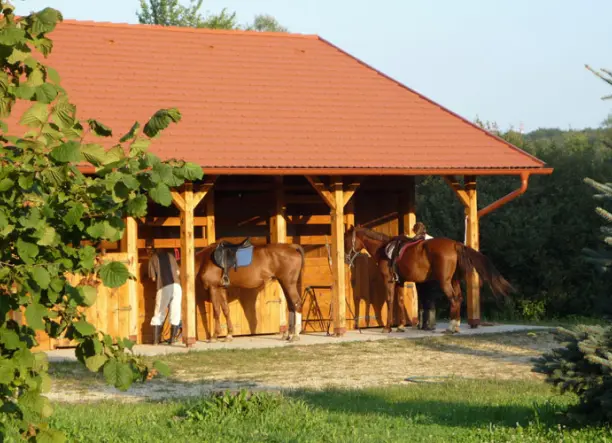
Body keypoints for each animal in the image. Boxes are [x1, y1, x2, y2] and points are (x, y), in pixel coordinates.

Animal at [344, 227, 512, 334]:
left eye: (346, 240)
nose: (346, 259)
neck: (383, 249)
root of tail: (455, 244)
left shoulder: (389, 281)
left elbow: (390, 301)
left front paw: (387, 328)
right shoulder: (400, 282)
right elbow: (400, 302)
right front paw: (400, 326)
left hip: (445, 282)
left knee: (453, 299)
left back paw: (451, 328)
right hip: (454, 280)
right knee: (458, 298)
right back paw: (456, 325)